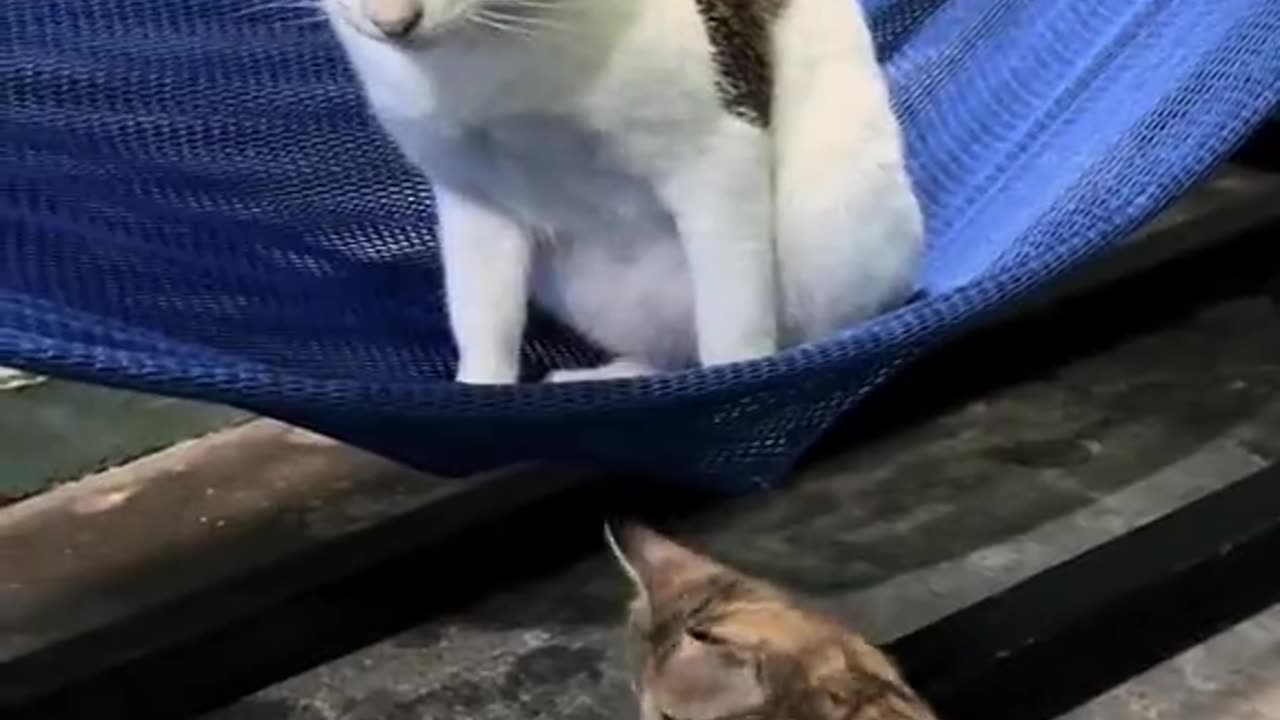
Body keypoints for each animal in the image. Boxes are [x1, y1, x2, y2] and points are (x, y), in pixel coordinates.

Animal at [320, 0, 921, 384]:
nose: (392, 21)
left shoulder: (715, 151)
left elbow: (733, 317)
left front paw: (742, 382)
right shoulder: (471, 196)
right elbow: (482, 318)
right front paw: (480, 392)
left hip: (827, 211)